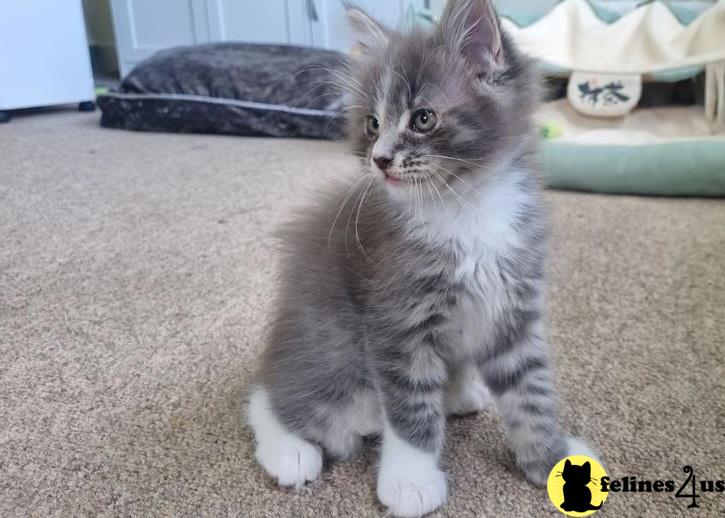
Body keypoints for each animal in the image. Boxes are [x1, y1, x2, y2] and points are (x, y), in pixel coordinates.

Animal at [246, 1, 596, 516]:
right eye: (372, 124)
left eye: (423, 119)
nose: (379, 159)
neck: (467, 208)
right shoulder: (397, 318)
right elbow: (411, 409)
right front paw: (411, 481)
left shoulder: (515, 303)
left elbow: (531, 393)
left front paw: (550, 457)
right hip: (332, 346)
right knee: (274, 397)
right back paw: (290, 451)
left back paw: (460, 393)